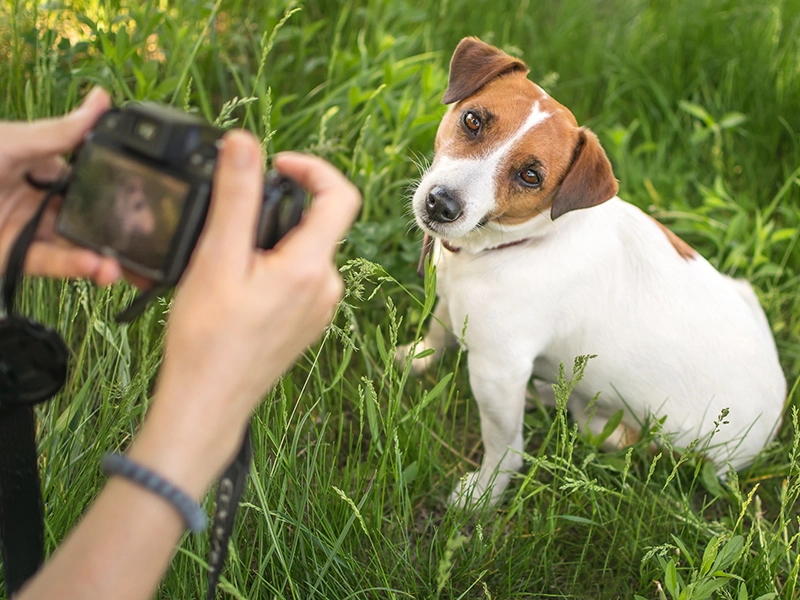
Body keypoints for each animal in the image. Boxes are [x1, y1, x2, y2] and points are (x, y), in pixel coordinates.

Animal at [396, 37, 784, 506]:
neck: (521, 243)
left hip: (623, 433)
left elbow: (504, 445)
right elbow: (437, 334)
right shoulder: (452, 302)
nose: (441, 204)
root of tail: (772, 425)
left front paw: (484, 493)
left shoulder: (498, 370)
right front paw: (414, 359)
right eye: (472, 120)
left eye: (531, 175)